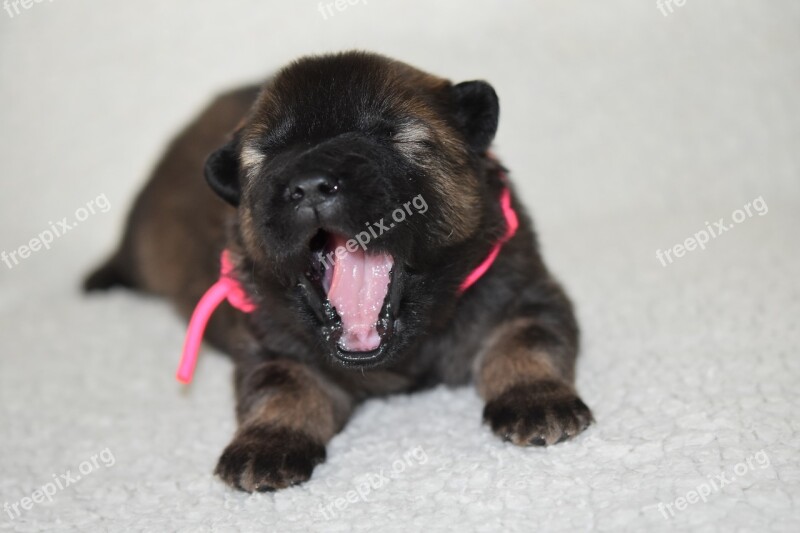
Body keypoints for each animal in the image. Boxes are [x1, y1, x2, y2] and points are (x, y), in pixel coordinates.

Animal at [84, 52, 592, 492]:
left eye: (390, 135)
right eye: (267, 155)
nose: (309, 185)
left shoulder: (522, 288)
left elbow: (526, 338)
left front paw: (536, 399)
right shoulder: (272, 342)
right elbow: (282, 387)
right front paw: (266, 446)